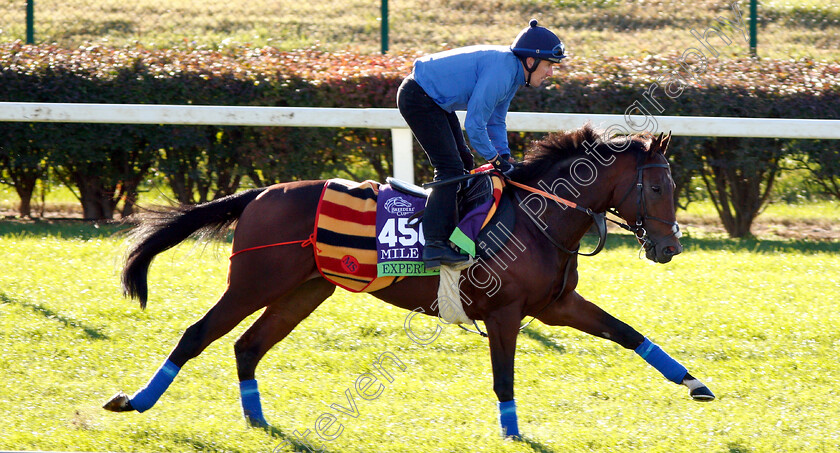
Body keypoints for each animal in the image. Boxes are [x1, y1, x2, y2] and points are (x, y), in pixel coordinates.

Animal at [101, 122, 712, 438]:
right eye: (659, 187)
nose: (669, 247)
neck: (540, 217)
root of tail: (259, 192)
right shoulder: (506, 312)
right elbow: (504, 379)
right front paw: (512, 433)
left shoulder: (556, 305)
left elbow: (628, 334)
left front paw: (694, 383)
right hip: (253, 282)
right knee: (196, 336)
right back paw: (136, 401)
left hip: (304, 291)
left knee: (248, 346)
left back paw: (258, 422)